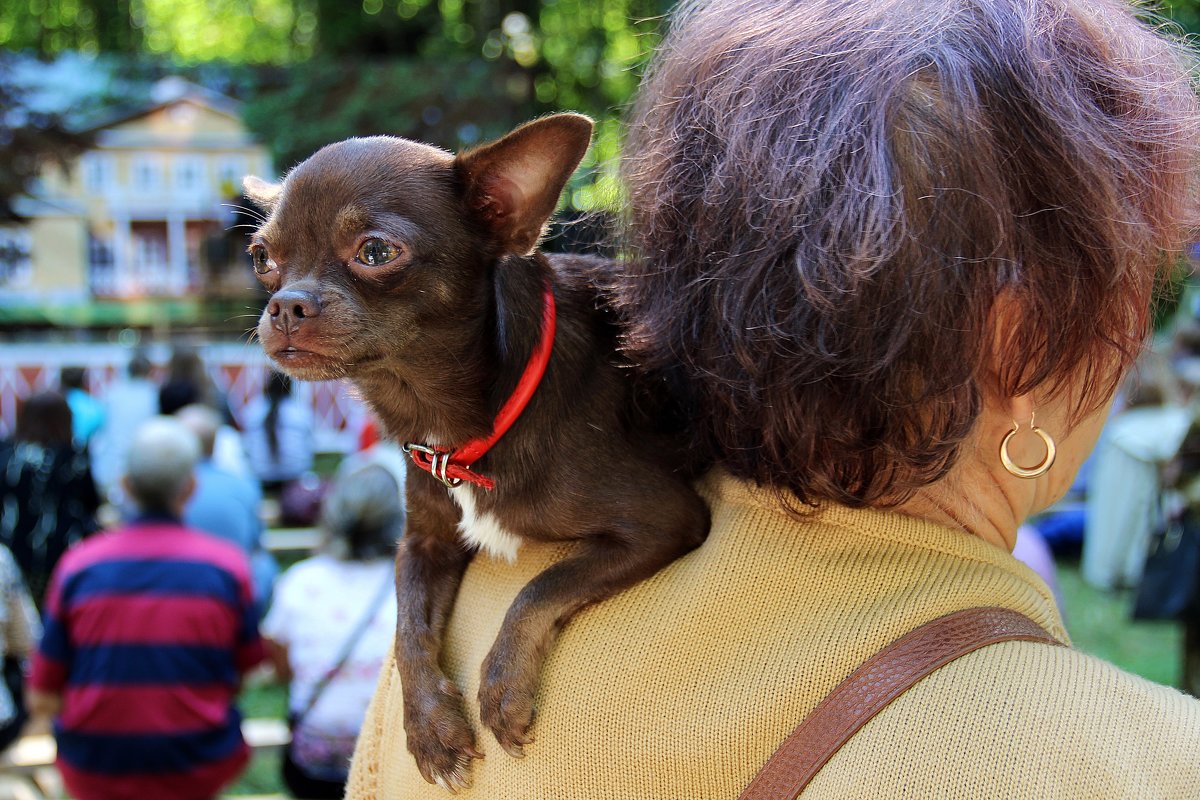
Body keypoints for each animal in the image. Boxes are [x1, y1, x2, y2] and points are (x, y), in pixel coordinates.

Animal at [246, 113, 710, 796]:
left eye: (376, 252)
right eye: (262, 259)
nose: (284, 304)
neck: (449, 424)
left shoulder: (664, 521)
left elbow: (545, 584)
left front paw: (502, 686)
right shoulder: (424, 544)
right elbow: (406, 624)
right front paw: (431, 728)